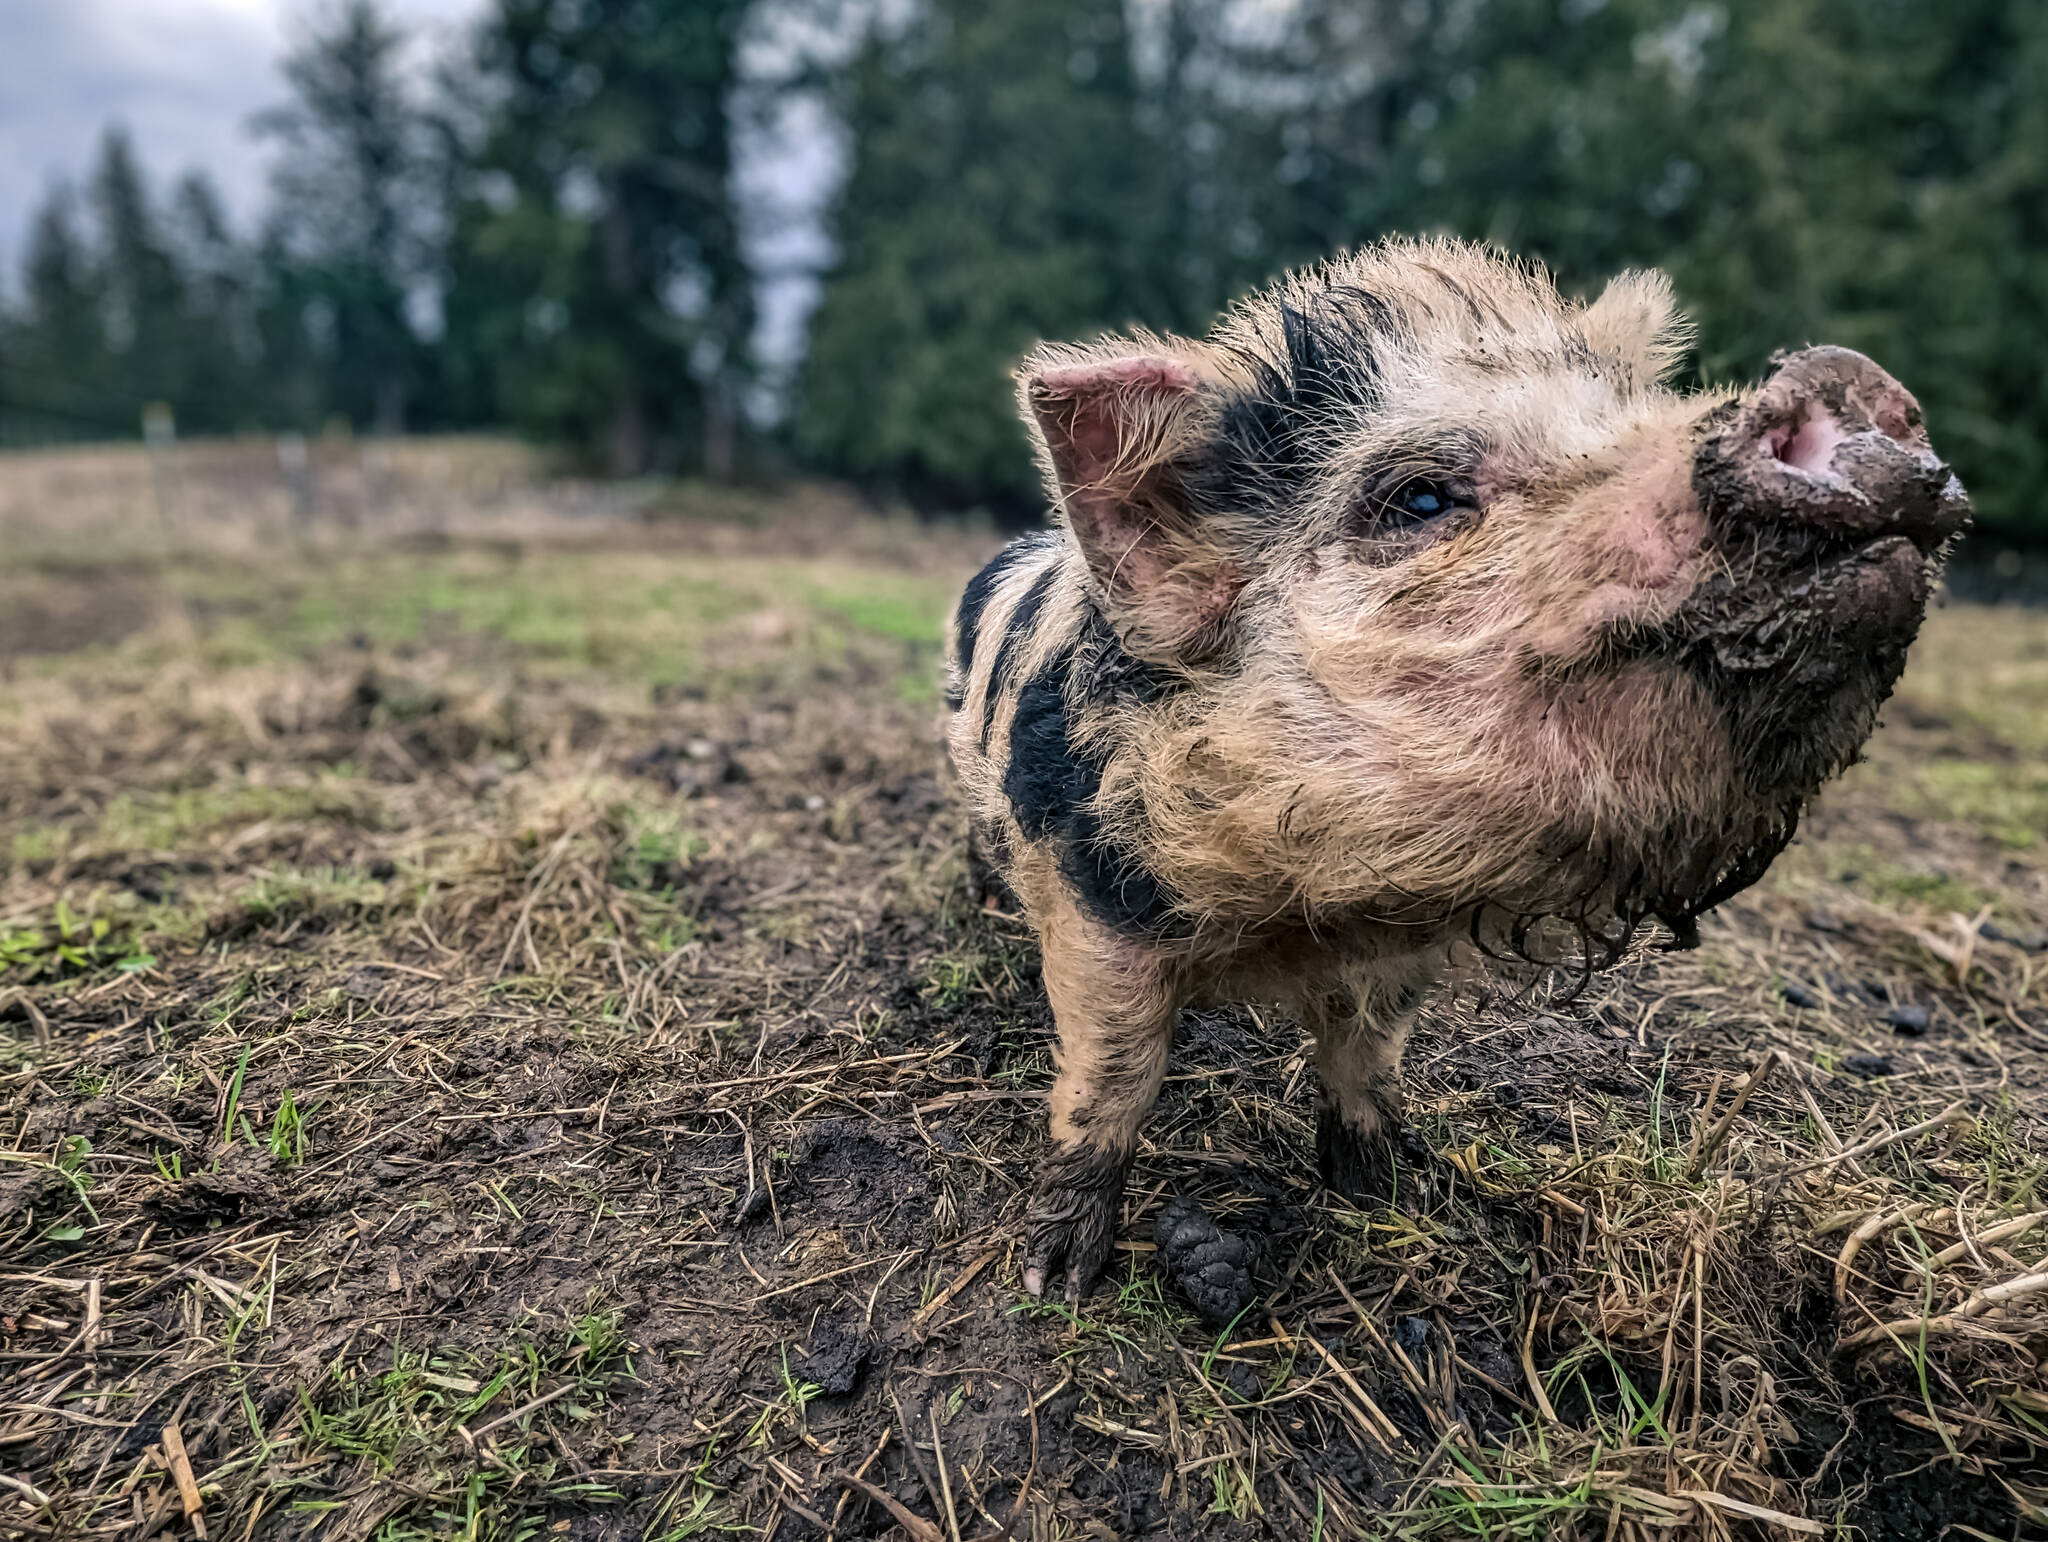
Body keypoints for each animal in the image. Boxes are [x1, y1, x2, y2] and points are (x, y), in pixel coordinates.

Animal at [942, 240, 1966, 1302]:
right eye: (1422, 499)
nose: (1846, 377)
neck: (1302, 919)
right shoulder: (1098, 899)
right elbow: (1114, 1076)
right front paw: (1055, 1278)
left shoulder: (1393, 957)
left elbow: (1368, 1056)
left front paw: (1385, 1190)